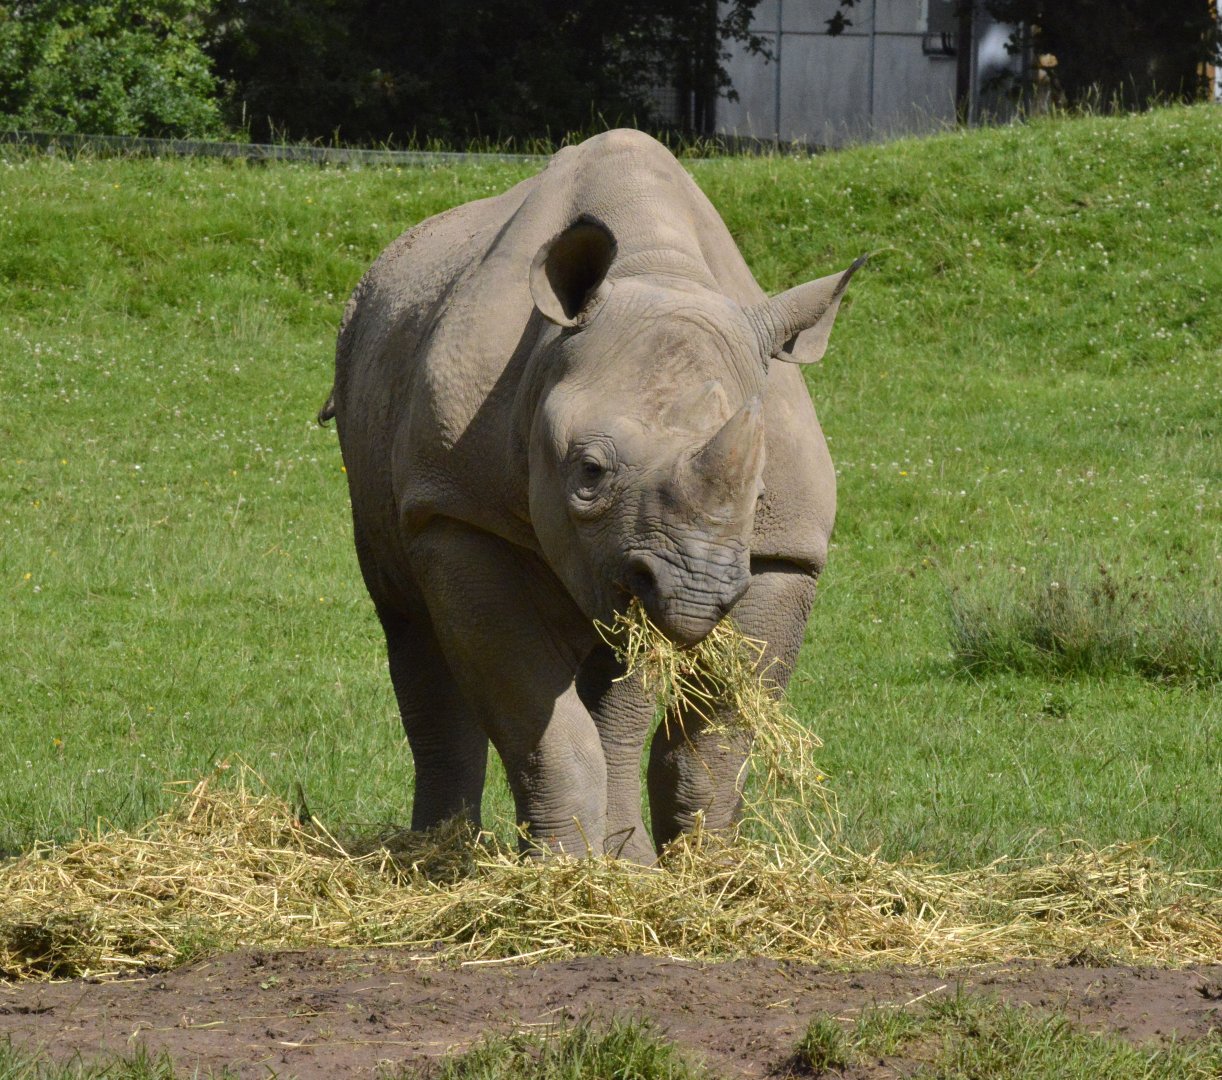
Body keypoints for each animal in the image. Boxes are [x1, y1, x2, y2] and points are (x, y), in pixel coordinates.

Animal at [321, 129, 861, 862]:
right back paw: (442, 851)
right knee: (409, 624)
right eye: (589, 473)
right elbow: (537, 716)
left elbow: (715, 731)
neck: (655, 269)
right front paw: (564, 868)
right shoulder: (459, 513)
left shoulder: (785, 552)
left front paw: (703, 870)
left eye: (757, 487)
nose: (695, 593)